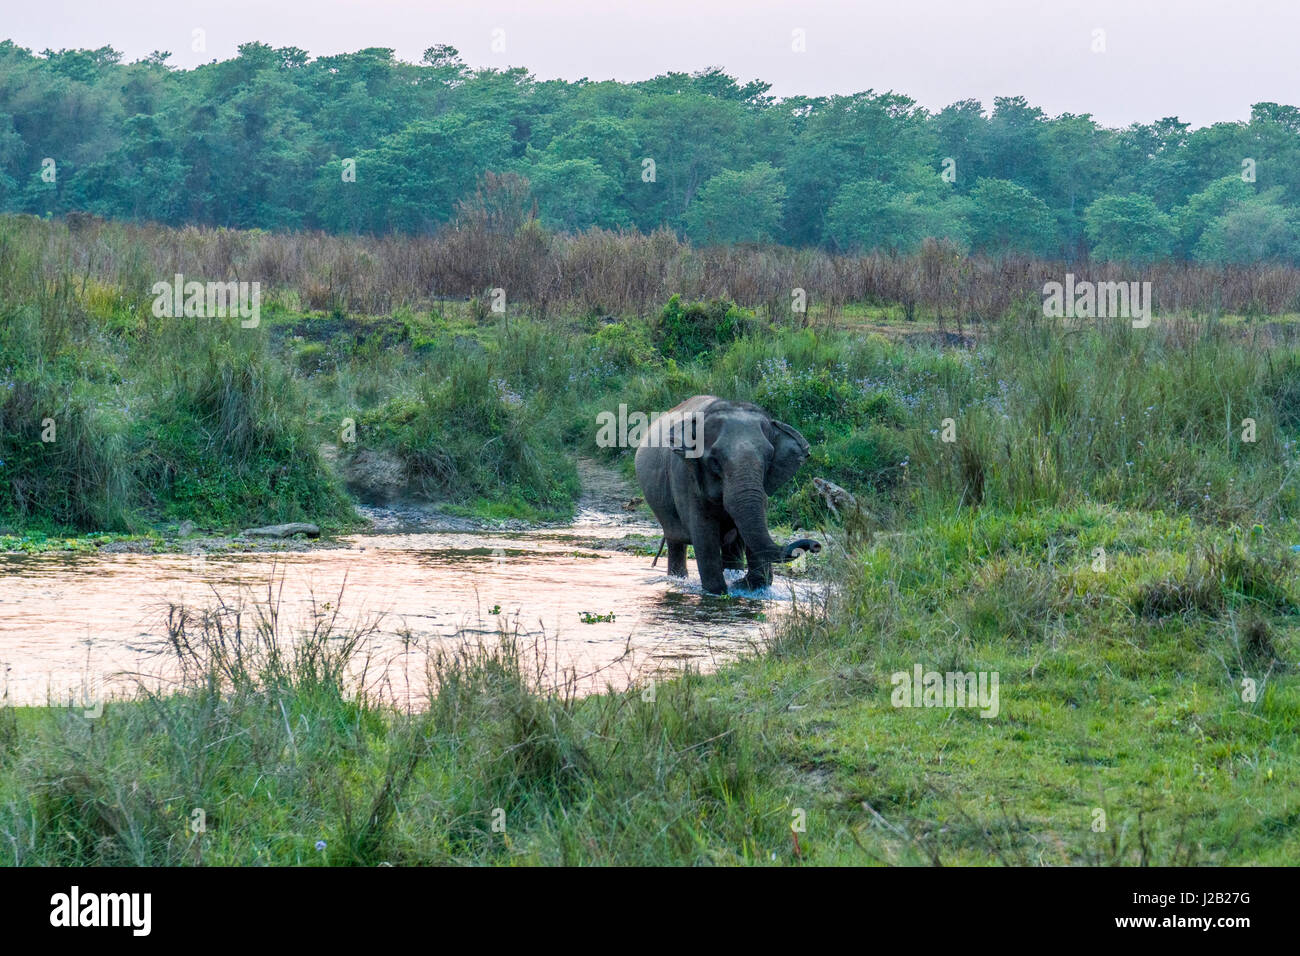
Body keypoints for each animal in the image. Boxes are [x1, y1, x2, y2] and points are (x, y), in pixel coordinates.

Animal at [631, 395, 821, 590]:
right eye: (714, 461)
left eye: (769, 458)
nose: (816, 545)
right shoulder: (685, 474)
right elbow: (704, 534)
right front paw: (719, 591)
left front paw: (746, 585)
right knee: (676, 541)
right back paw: (678, 579)